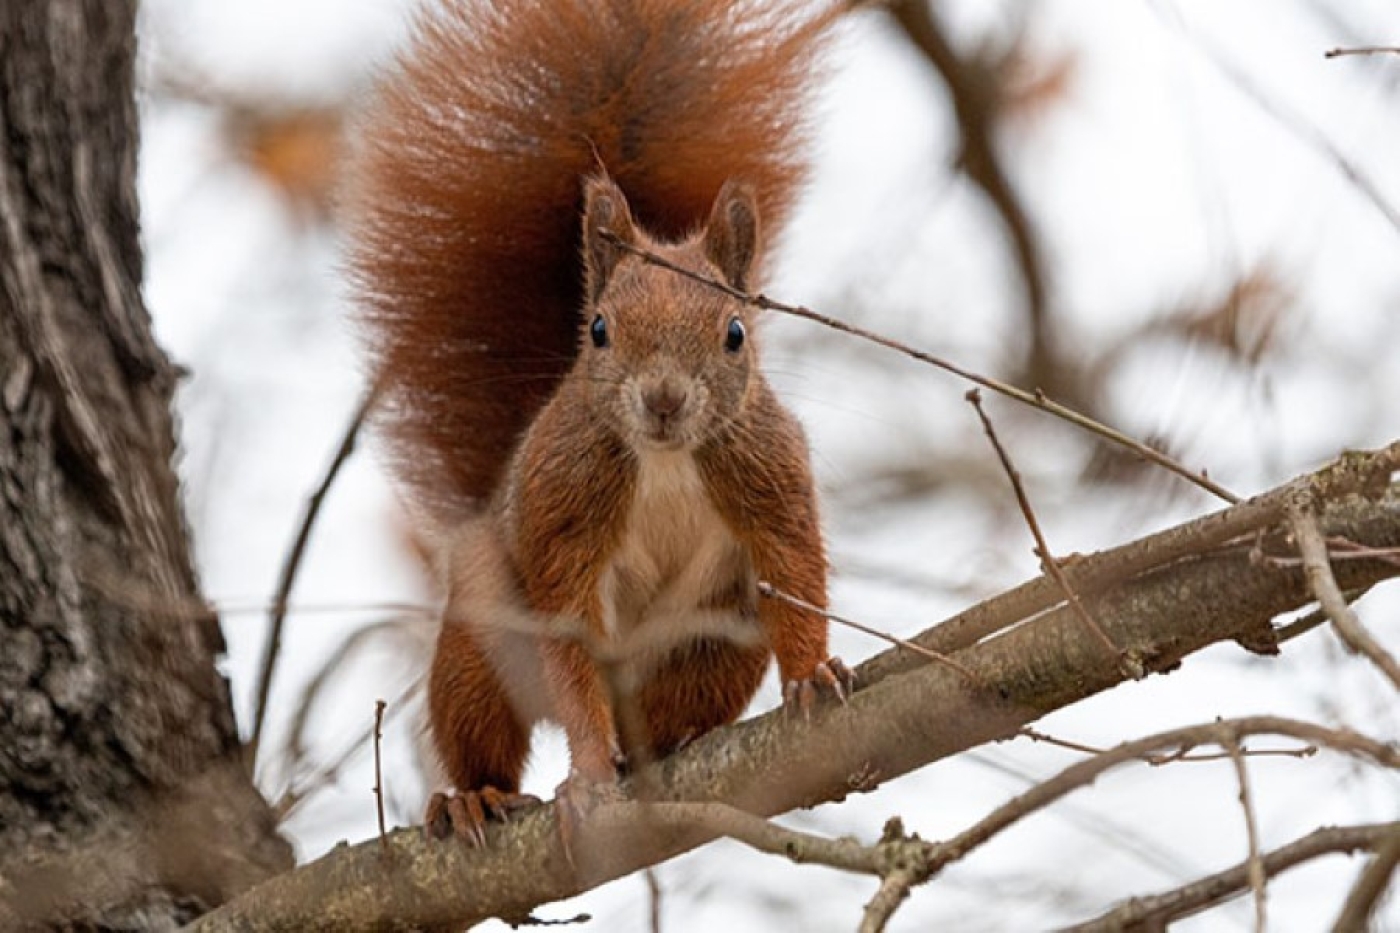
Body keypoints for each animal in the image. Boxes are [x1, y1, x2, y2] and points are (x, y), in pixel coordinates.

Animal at [343, 0, 845, 840]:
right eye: (600, 329)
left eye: (735, 333)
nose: (664, 399)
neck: (665, 458)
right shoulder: (565, 509)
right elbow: (570, 636)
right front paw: (584, 776)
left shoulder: (766, 470)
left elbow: (795, 564)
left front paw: (812, 674)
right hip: (480, 641)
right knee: (487, 725)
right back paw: (476, 795)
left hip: (720, 639)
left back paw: (669, 740)